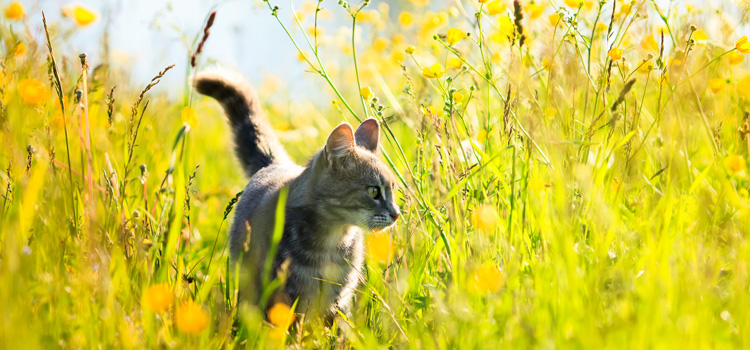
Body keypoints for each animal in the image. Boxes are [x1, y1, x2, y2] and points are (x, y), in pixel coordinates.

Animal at [197, 69, 402, 322]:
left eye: (393, 190)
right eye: (374, 191)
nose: (396, 214)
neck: (332, 240)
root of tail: (278, 164)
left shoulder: (339, 300)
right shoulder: (284, 297)